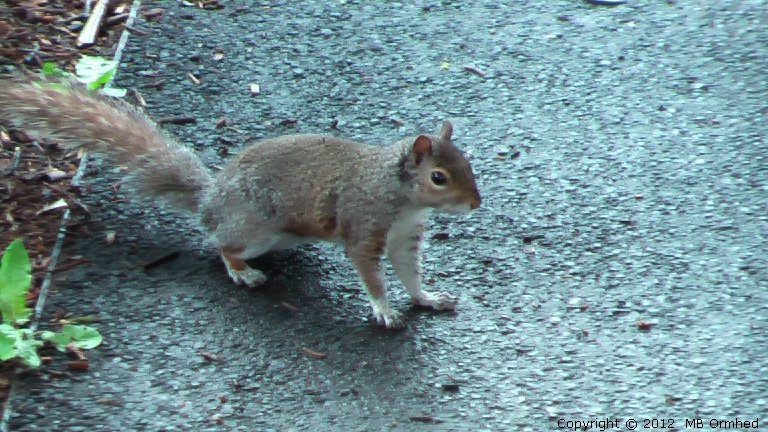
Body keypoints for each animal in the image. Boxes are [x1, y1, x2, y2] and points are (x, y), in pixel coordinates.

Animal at [0, 78, 480, 328]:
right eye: (438, 177)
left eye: (467, 163)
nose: (475, 204)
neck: (401, 197)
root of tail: (210, 200)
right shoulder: (365, 225)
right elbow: (371, 274)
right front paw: (383, 309)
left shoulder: (404, 237)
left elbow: (409, 273)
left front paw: (427, 298)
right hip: (254, 230)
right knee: (220, 245)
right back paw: (242, 272)